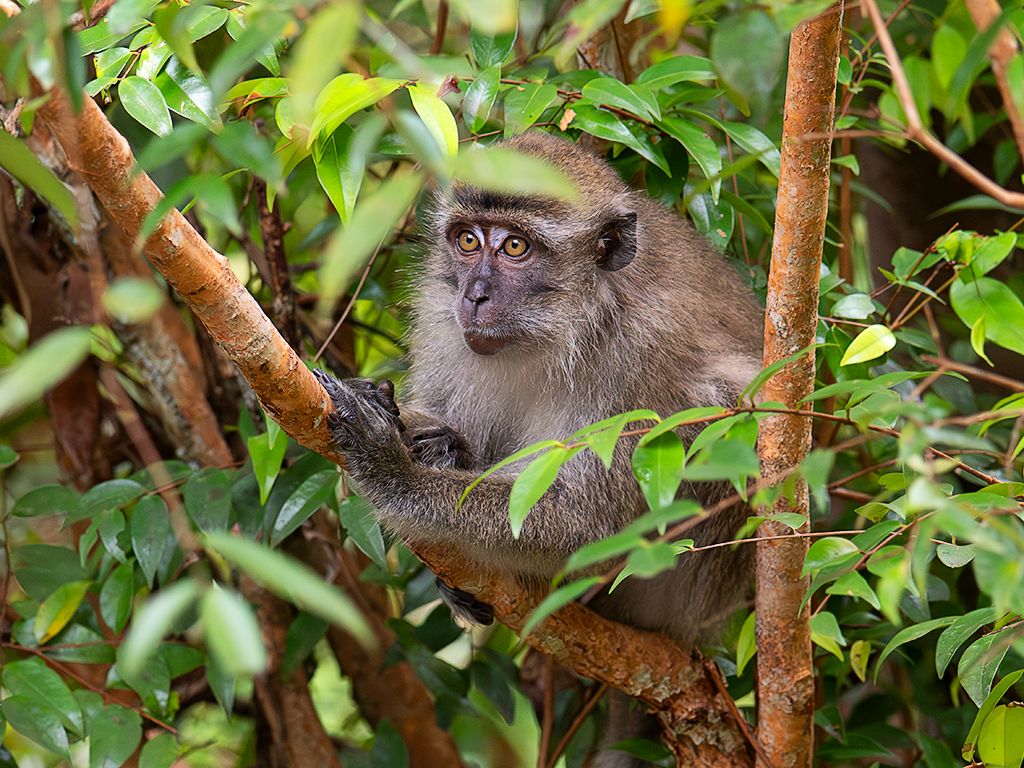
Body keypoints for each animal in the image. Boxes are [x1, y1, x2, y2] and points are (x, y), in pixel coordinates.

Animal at [315, 131, 763, 767]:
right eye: (468, 240)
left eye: (515, 246)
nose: (475, 295)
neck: (556, 330)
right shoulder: (440, 313)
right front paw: (421, 432)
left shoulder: (640, 357)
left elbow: (589, 524)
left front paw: (395, 471)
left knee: (719, 410)